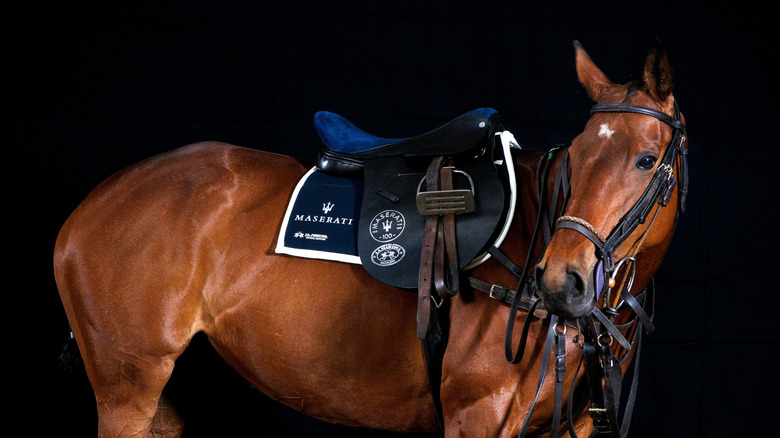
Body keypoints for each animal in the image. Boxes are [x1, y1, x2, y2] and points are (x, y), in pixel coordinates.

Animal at [54, 40, 687, 437]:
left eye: (646, 159)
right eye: (576, 158)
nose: (561, 278)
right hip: (127, 390)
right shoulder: (476, 417)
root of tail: (86, 209)